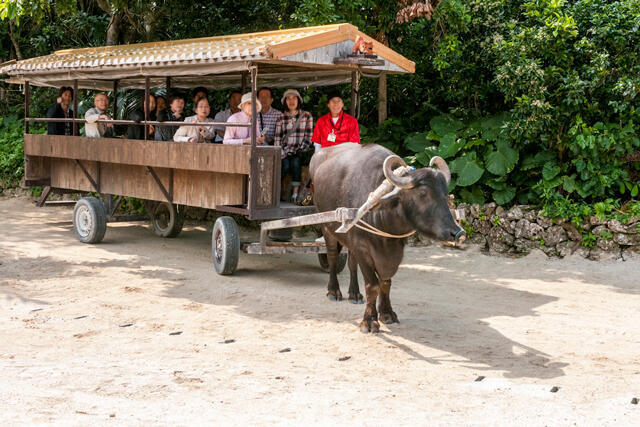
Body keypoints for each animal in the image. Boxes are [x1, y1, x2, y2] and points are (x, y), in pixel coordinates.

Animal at [310, 144, 464, 334]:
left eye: (445, 194)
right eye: (422, 193)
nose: (457, 233)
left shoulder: (392, 252)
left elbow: (385, 282)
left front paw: (387, 313)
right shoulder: (363, 248)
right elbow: (373, 285)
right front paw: (369, 321)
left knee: (352, 263)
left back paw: (354, 294)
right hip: (326, 227)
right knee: (332, 257)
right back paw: (334, 291)